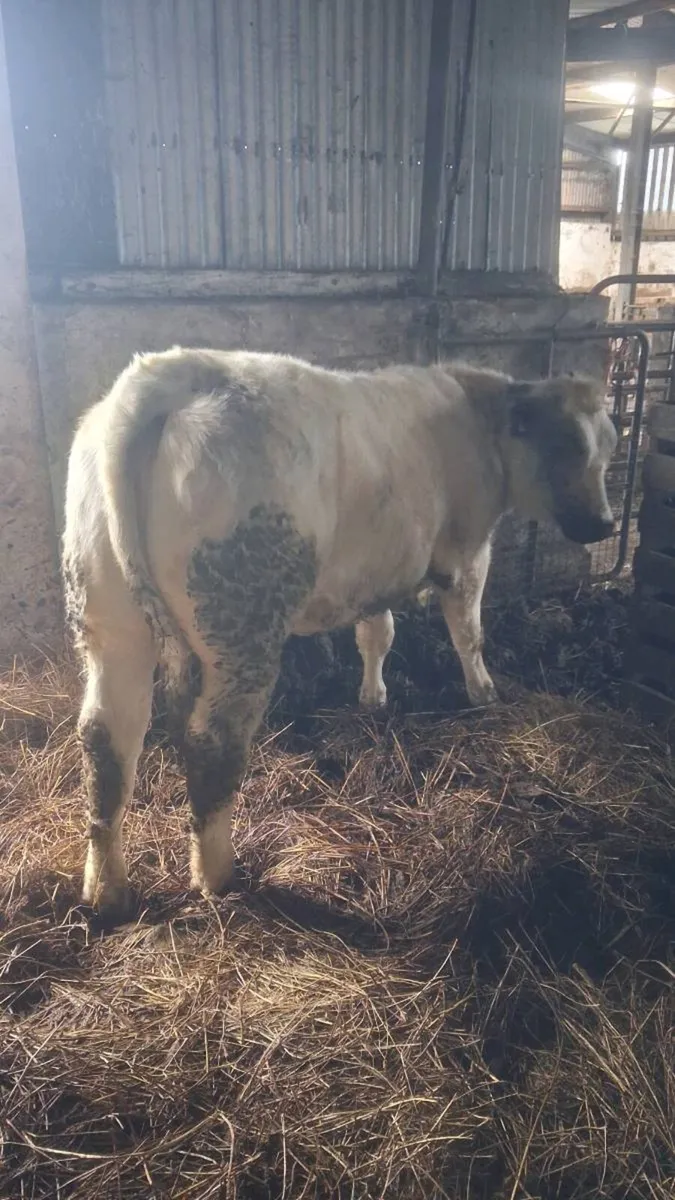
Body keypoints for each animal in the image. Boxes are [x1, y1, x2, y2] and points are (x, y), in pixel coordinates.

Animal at [62, 348, 617, 921]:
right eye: (567, 444)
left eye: (609, 448)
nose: (605, 524)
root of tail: (167, 373)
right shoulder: (466, 555)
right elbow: (469, 633)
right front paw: (483, 694)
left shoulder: (372, 572)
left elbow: (376, 633)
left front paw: (373, 697)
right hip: (240, 626)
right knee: (210, 741)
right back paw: (217, 876)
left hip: (109, 620)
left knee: (106, 738)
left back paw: (106, 889)